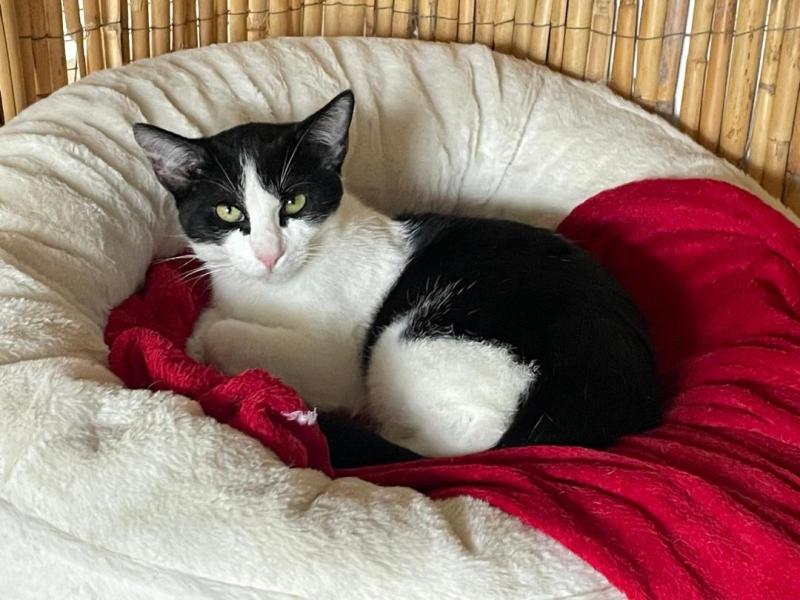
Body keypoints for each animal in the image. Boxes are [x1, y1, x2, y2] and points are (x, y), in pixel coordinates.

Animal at [133, 90, 661, 468]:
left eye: (295, 203)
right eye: (228, 211)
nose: (270, 253)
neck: (265, 293)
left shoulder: (336, 361)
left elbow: (224, 330)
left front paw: (204, 349)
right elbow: (214, 316)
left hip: (412, 338)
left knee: (448, 443)